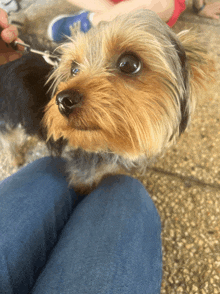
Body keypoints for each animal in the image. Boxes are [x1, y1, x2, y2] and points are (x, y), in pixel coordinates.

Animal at [0, 9, 213, 194]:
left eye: (129, 63)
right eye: (74, 69)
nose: (63, 100)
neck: (106, 144)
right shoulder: (84, 172)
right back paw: (15, 157)